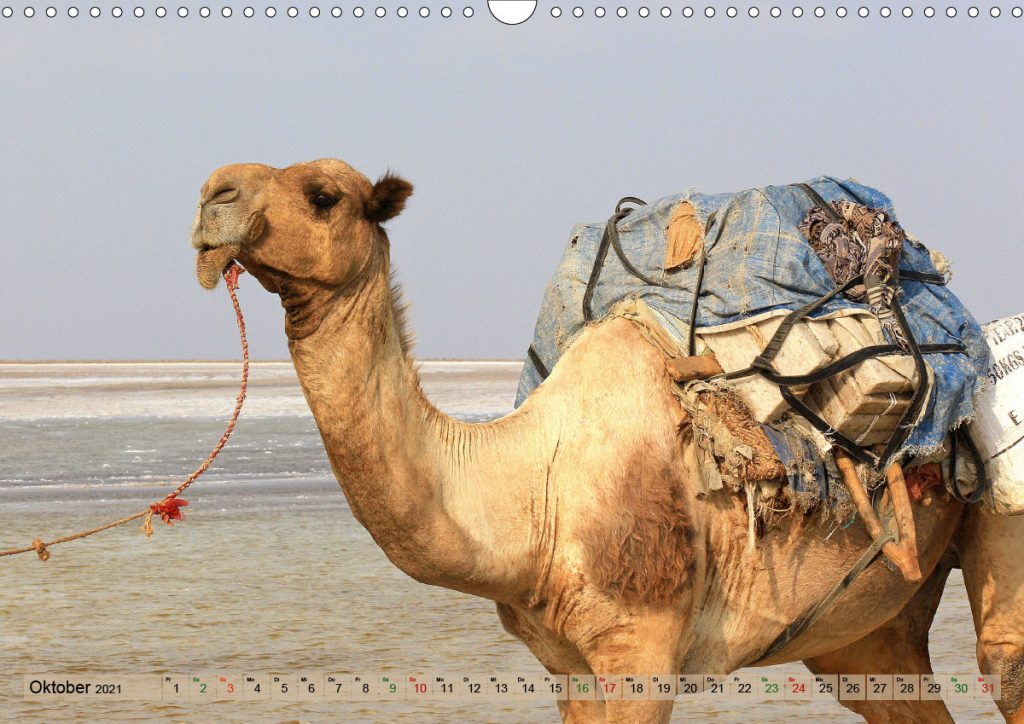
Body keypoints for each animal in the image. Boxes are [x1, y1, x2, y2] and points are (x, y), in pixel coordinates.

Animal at [190, 158, 1024, 723]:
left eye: (322, 196)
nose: (212, 194)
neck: (531, 492)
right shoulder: (567, 665)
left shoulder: (642, 651)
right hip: (867, 625)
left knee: (1003, 663)